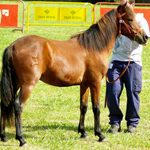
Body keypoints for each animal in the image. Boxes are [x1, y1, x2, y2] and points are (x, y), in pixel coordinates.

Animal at [0, 1, 148, 146]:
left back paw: (3, 136)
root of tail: (13, 46)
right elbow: (96, 108)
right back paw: (21, 139)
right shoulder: (96, 83)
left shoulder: (85, 84)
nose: (145, 37)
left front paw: (83, 132)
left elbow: (84, 107)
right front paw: (100, 135)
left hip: (16, 82)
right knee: (18, 105)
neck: (94, 47)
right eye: (130, 19)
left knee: (5, 102)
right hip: (28, 84)